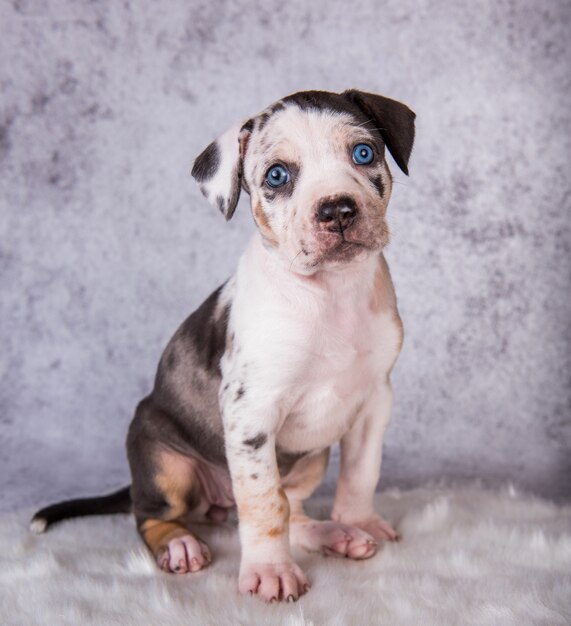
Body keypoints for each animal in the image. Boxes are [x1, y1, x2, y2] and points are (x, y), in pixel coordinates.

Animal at [31, 88, 416, 600]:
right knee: (152, 513)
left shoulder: (374, 400)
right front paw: (271, 571)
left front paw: (361, 521)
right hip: (163, 460)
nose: (337, 210)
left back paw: (335, 534)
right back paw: (179, 544)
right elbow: (265, 503)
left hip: (310, 459)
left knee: (293, 507)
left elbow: (360, 473)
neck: (332, 294)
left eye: (364, 153)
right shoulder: (251, 413)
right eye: (277, 175)